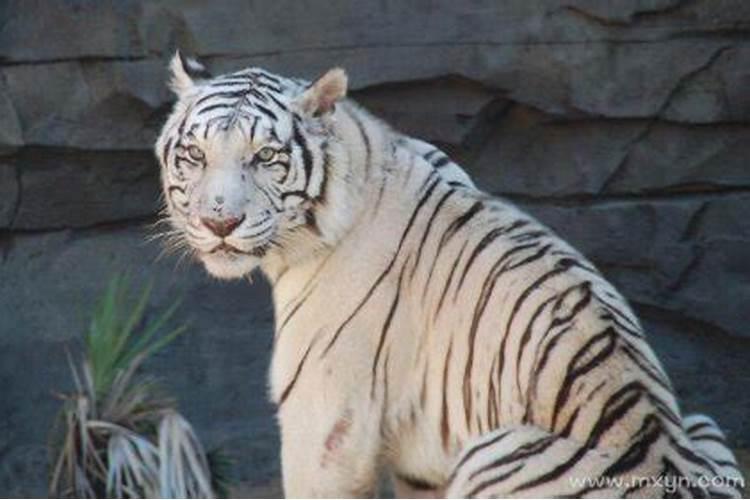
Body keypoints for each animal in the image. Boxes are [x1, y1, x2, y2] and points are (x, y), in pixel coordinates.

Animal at [156, 52, 744, 498]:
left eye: (265, 157)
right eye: (195, 155)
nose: (219, 222)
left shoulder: (325, 423)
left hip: (491, 451)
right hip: (703, 424)